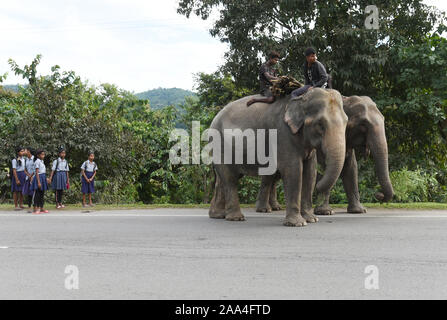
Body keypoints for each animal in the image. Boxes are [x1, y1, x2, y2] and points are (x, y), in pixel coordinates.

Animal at [209, 87, 350, 226]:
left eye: (346, 122)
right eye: (320, 124)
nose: (319, 186)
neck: (301, 99)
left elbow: (310, 172)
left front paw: (312, 219)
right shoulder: (282, 132)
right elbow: (293, 170)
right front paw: (297, 223)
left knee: (223, 180)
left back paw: (218, 215)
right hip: (219, 145)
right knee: (230, 178)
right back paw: (236, 218)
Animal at [258, 95, 394, 215]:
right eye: (363, 125)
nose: (379, 195)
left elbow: (351, 168)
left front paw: (359, 211)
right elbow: (323, 166)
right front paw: (325, 212)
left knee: (275, 176)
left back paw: (275, 207)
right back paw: (266, 209)